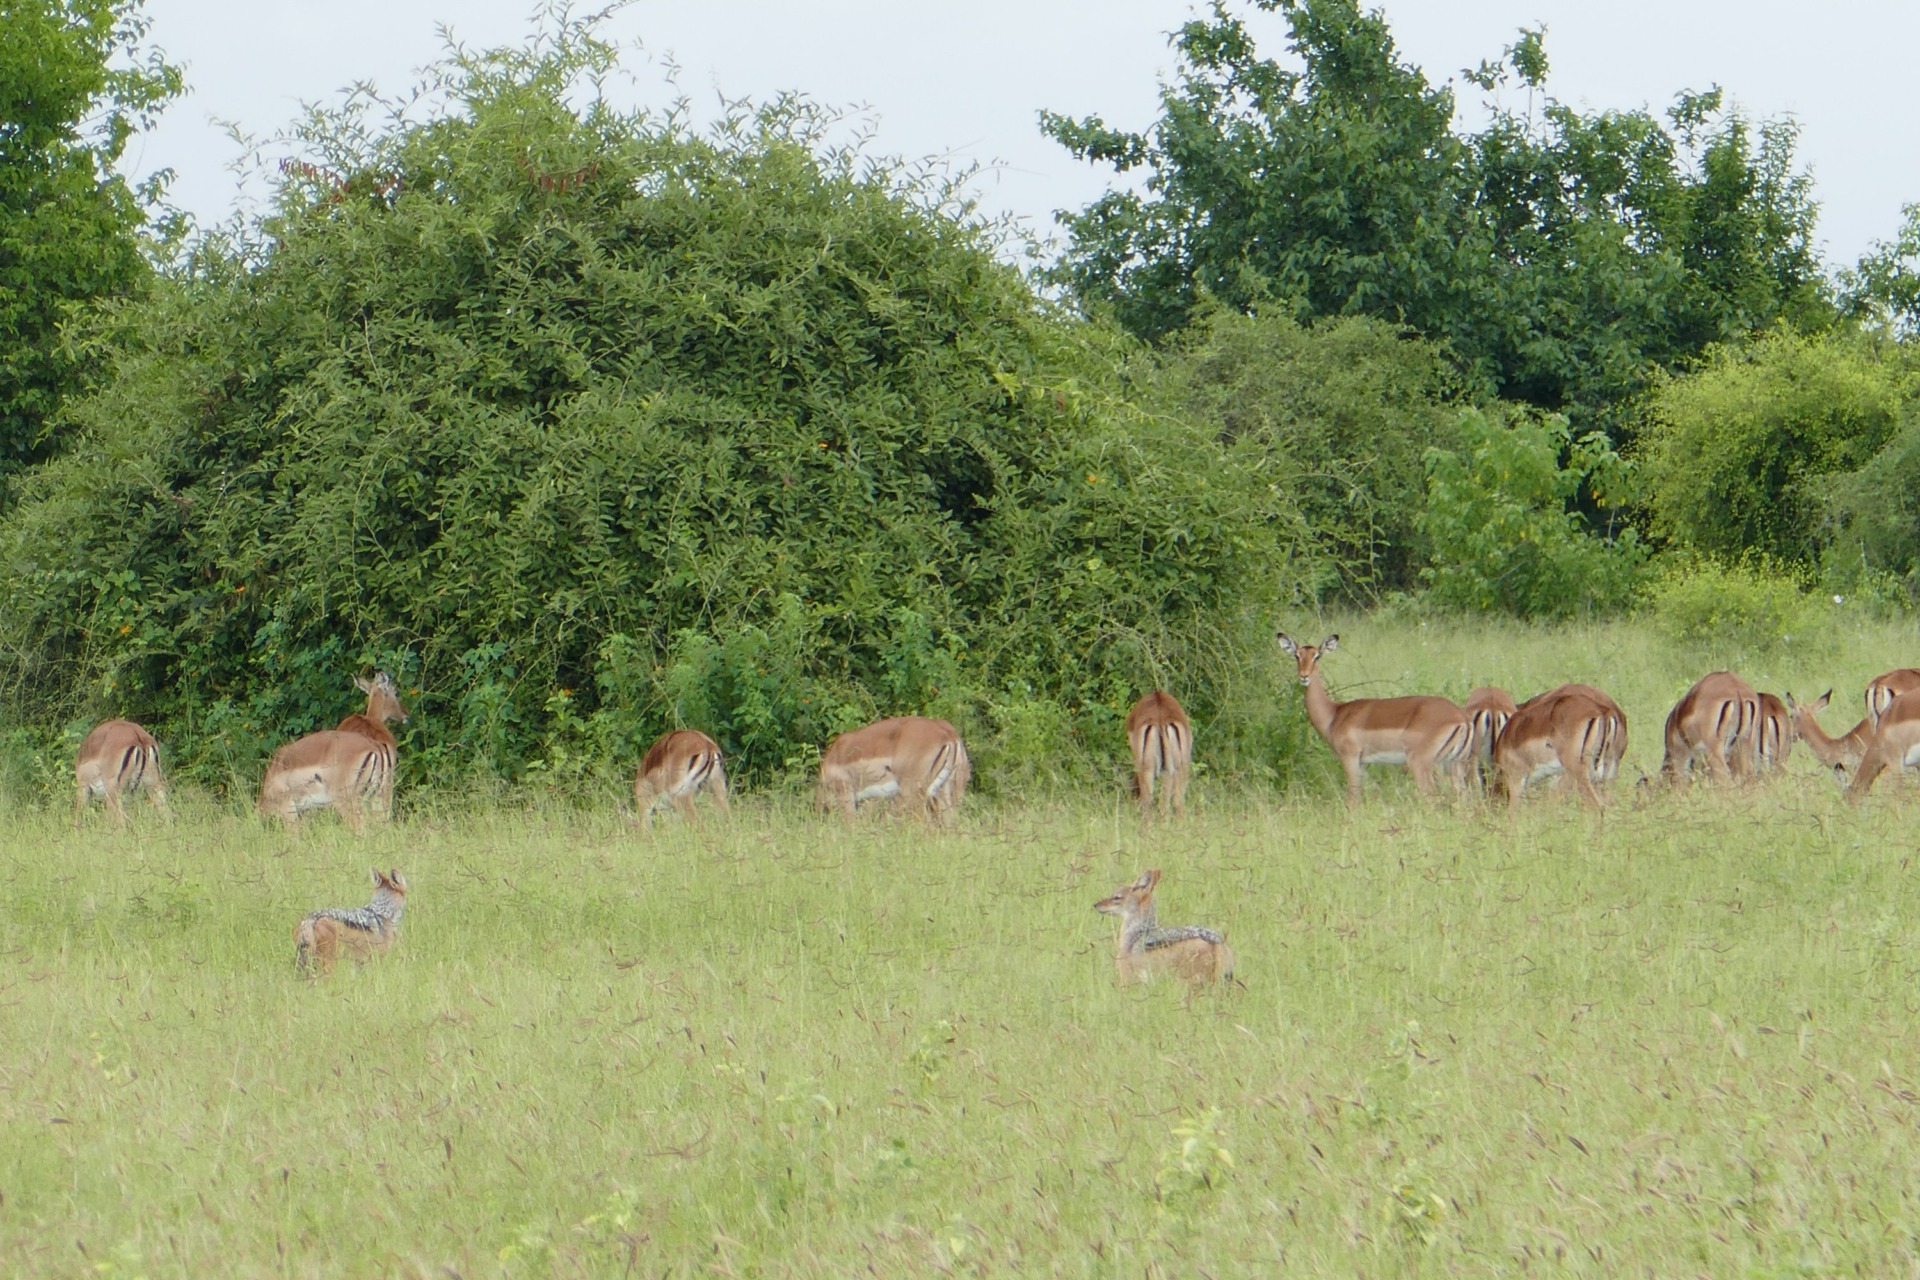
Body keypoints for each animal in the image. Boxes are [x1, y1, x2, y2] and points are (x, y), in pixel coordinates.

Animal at [1274, 632, 1472, 803]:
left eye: (1317, 656)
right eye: (1297, 656)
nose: (1304, 676)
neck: (1335, 714)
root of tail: (1461, 717)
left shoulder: (1350, 758)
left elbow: (1353, 798)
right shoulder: (1363, 764)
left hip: (1421, 763)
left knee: (1431, 797)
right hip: (1454, 764)